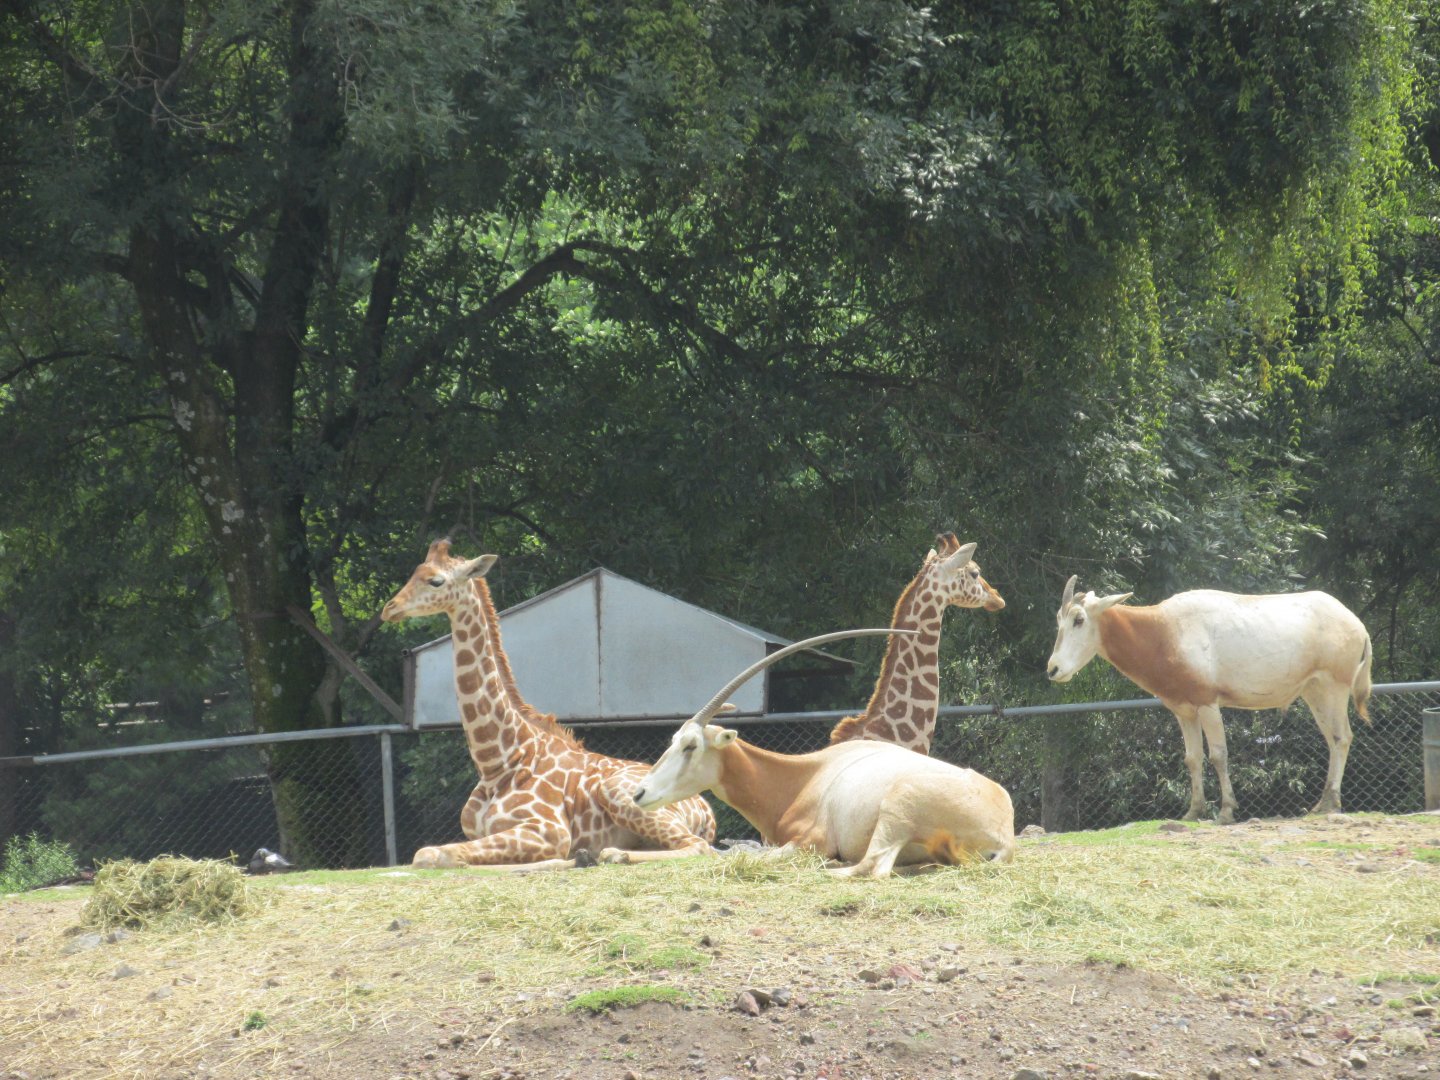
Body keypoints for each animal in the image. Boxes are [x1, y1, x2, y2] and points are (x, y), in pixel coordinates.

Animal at [381, 540, 716, 869]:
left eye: (436, 580)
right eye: (414, 573)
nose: (389, 608)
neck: (497, 762)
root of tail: (707, 810)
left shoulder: (548, 831)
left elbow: (432, 854)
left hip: (619, 794)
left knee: (700, 847)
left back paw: (608, 855)